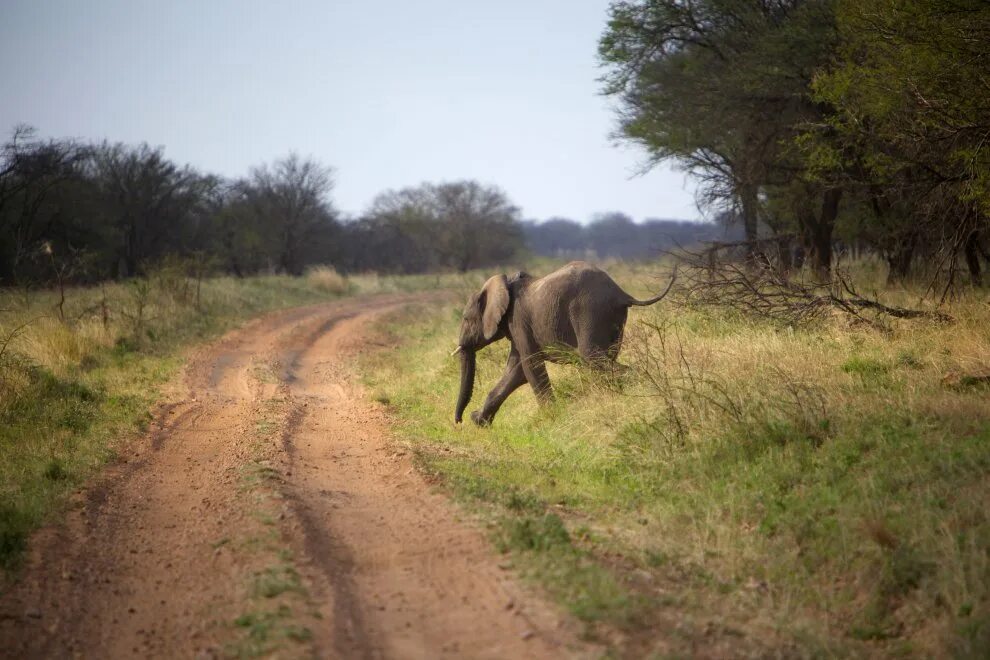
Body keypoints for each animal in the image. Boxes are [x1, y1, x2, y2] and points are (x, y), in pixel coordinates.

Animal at [456, 260, 676, 426]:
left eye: (466, 319)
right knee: (606, 358)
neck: (504, 283)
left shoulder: (518, 320)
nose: (459, 422)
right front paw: (479, 421)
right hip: (612, 317)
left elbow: (530, 366)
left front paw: (550, 417)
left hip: (589, 311)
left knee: (593, 357)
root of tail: (621, 293)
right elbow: (516, 372)